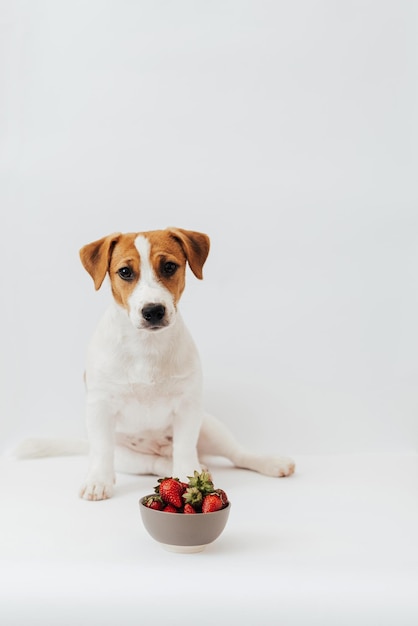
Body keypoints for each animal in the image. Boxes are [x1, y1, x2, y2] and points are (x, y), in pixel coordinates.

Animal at [16, 225, 296, 498]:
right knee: (151, 462)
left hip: (209, 425)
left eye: (169, 267)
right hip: (127, 456)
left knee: (235, 453)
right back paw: (190, 466)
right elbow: (103, 451)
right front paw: (98, 481)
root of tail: (158, 447)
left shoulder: (188, 405)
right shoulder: (100, 407)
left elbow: (184, 448)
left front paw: (189, 478)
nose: (153, 311)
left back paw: (268, 462)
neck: (146, 345)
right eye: (125, 272)